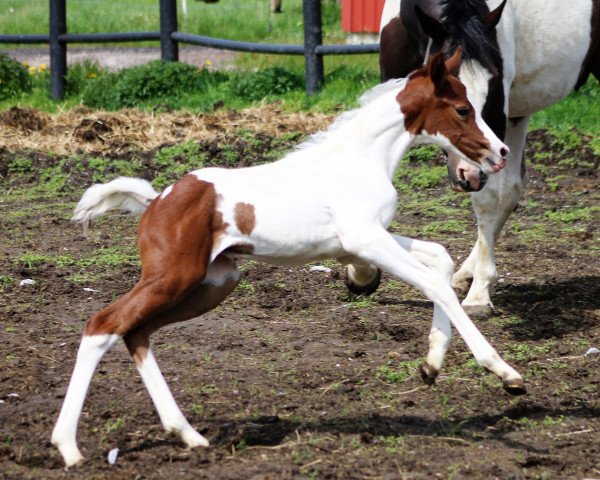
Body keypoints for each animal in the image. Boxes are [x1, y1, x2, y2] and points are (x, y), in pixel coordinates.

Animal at [51, 50, 524, 466]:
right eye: (462, 110)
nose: (500, 153)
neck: (361, 158)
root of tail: (156, 201)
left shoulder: (367, 240)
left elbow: (440, 260)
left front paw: (431, 364)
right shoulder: (367, 241)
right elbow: (436, 285)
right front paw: (502, 371)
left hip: (211, 284)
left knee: (137, 333)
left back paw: (187, 434)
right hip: (174, 278)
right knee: (103, 325)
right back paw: (69, 447)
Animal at [344, 0, 596, 318]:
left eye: (492, 85)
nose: (469, 174)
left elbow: (490, 200)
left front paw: (479, 295)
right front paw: (361, 274)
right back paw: (464, 274)